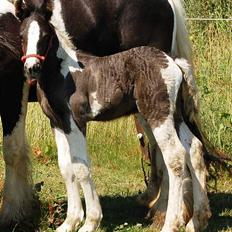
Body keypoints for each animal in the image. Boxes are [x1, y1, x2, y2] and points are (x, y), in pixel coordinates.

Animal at [18, 11, 210, 232]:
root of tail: (173, 62)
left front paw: (90, 222)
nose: (32, 68)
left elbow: (81, 167)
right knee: (193, 148)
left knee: (175, 157)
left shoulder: (76, 121)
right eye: (22, 35)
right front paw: (69, 222)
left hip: (158, 114)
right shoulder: (58, 123)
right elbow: (66, 167)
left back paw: (171, 223)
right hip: (175, 116)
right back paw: (197, 220)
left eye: (45, 35)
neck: (64, 73)